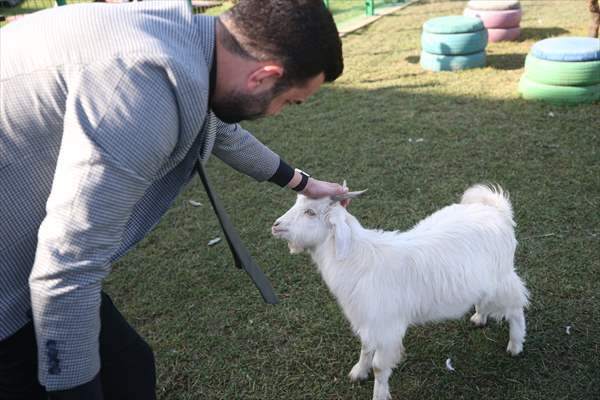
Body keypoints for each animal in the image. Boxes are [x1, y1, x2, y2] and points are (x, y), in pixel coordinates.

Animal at [272, 184, 528, 400]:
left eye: (310, 212)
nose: (276, 225)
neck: (356, 260)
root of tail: (495, 210)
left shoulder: (386, 326)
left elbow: (379, 366)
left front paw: (379, 394)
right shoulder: (369, 321)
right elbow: (365, 348)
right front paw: (358, 372)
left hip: (502, 279)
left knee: (516, 307)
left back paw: (515, 345)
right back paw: (480, 317)